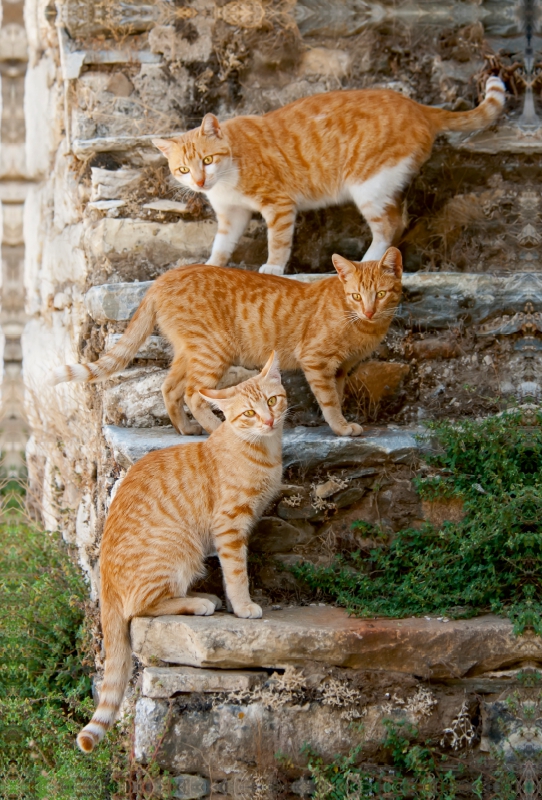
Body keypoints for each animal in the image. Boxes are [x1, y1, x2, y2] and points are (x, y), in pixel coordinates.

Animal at [54, 250, 404, 438]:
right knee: (194, 394)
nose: (369, 310)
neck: (361, 325)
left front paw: (341, 422)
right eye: (355, 296)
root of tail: (163, 277)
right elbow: (329, 401)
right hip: (213, 352)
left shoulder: (341, 369)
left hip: (191, 352)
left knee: (169, 388)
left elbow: (338, 395)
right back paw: (212, 428)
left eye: (380, 294)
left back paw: (185, 429)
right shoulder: (316, 361)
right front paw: (341, 428)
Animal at [77, 354, 288, 752]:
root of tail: (105, 577)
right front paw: (243, 606)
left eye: (272, 401)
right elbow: (237, 573)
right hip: (180, 550)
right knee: (140, 609)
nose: (269, 421)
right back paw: (198, 602)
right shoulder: (229, 526)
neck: (260, 449)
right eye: (248, 413)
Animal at [152, 77, 506, 274]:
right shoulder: (232, 214)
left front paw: (274, 266)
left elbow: (278, 241)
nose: (199, 182)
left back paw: (368, 261)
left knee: (390, 226)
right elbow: (222, 244)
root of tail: (419, 107)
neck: (227, 177)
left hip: (368, 186)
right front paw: (210, 266)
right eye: (184, 170)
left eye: (208, 160)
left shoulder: (278, 204)